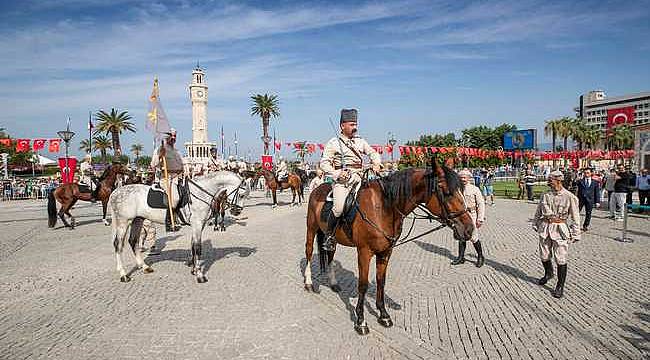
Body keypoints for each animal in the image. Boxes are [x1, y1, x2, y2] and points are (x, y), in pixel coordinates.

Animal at [106, 172, 248, 284]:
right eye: (241, 195)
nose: (237, 211)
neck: (200, 193)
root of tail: (115, 192)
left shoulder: (198, 225)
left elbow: (193, 245)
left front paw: (193, 269)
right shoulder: (197, 224)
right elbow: (198, 248)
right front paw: (199, 275)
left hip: (137, 220)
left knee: (133, 241)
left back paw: (145, 267)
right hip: (123, 222)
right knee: (118, 245)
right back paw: (123, 275)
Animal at [302, 160, 474, 334]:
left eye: (461, 190)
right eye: (446, 192)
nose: (469, 229)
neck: (383, 207)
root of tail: (317, 188)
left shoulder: (385, 252)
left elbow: (381, 281)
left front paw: (383, 315)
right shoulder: (364, 252)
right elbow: (363, 285)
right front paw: (361, 321)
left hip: (333, 238)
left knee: (330, 254)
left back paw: (333, 283)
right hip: (311, 229)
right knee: (309, 252)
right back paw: (309, 283)